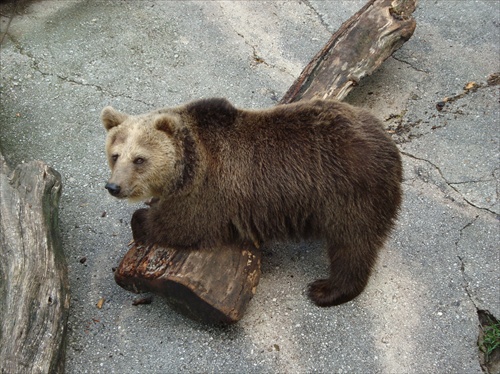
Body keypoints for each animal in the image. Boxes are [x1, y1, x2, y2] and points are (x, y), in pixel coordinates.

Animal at [101, 99, 402, 306]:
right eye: (115, 155)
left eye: (139, 159)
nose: (114, 187)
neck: (187, 165)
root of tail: (388, 141)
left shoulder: (209, 188)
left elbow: (183, 225)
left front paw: (141, 220)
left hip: (350, 191)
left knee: (352, 243)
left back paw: (325, 289)